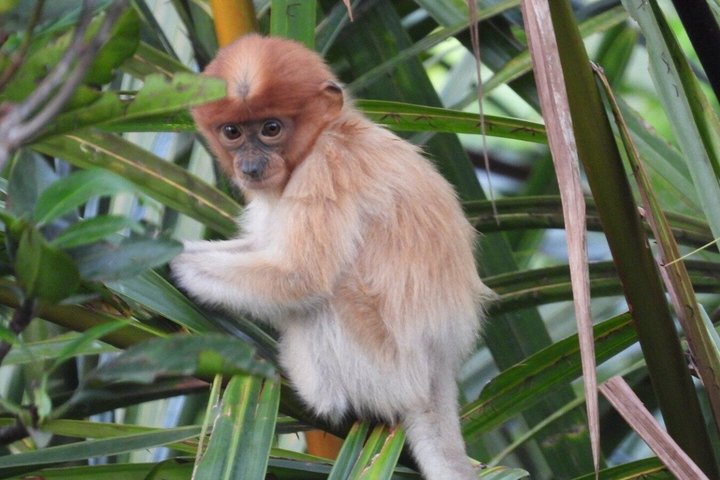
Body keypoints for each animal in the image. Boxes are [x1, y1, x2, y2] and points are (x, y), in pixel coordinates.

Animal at [171, 34, 494, 479]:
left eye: (271, 129)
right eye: (232, 132)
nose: (250, 164)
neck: (334, 130)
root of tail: (438, 368)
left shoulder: (328, 166)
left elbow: (299, 276)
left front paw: (167, 264)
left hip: (383, 369)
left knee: (328, 293)